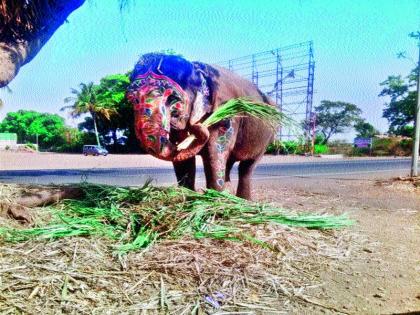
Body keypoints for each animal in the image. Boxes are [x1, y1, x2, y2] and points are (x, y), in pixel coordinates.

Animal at [125, 52, 276, 199]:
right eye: (132, 99)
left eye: (173, 98)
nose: (194, 126)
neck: (198, 69)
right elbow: (184, 162)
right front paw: (188, 195)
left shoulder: (226, 114)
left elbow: (214, 151)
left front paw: (214, 198)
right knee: (229, 162)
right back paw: (229, 195)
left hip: (267, 138)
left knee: (246, 167)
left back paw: (243, 200)